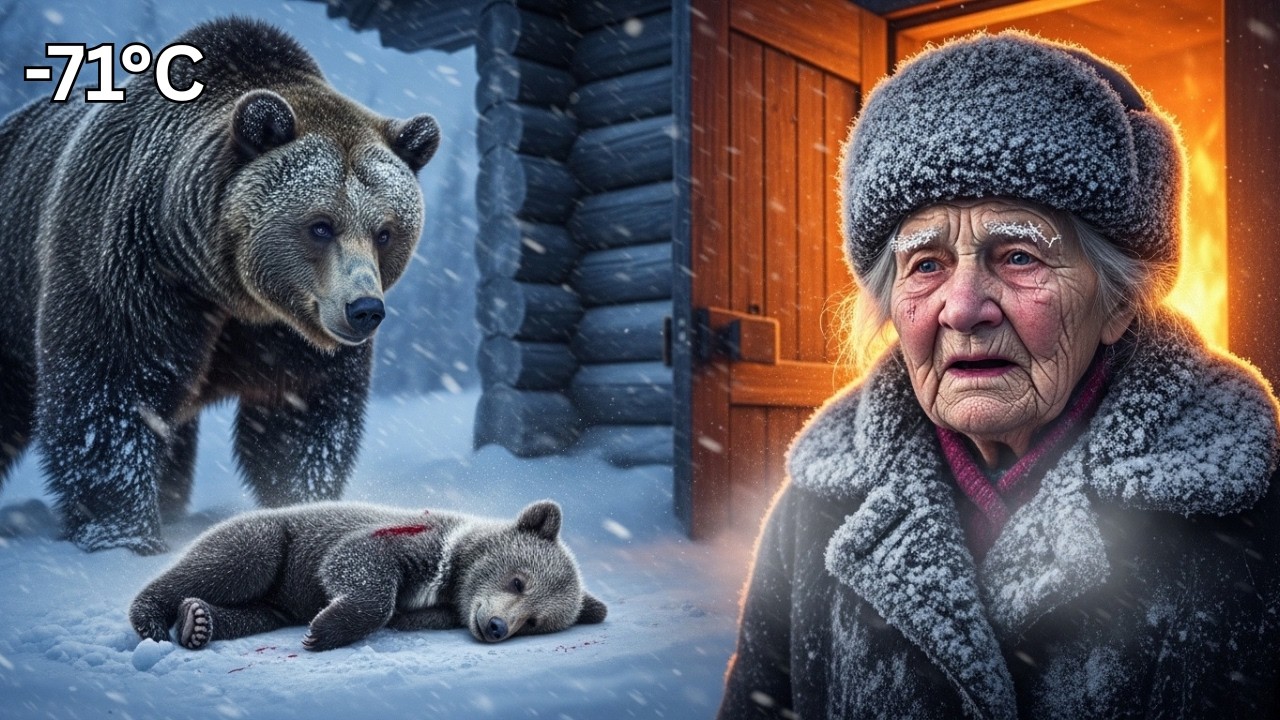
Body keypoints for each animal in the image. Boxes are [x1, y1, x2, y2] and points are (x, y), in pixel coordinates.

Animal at [0, 17, 440, 554]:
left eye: (385, 231)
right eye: (321, 225)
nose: (363, 310)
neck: (227, 287)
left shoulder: (288, 331)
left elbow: (300, 416)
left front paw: (302, 504)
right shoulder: (130, 272)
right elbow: (109, 393)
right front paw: (124, 534)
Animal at [128, 500, 608, 651]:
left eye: (535, 622)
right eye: (518, 581)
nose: (495, 626)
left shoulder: (445, 605)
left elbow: (410, 614)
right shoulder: (416, 541)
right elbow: (356, 560)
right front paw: (323, 631)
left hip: (278, 602)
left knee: (256, 613)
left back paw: (197, 621)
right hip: (270, 540)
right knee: (230, 565)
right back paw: (152, 616)